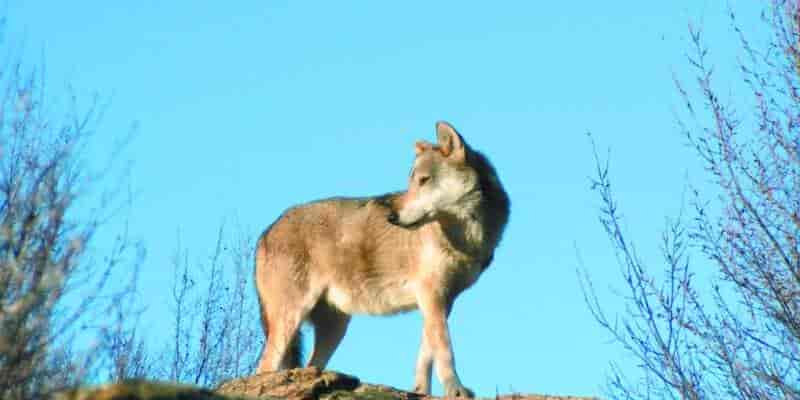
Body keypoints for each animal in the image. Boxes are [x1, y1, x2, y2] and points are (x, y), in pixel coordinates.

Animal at [254, 121, 510, 398]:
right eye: (410, 182)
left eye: (423, 180)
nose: (391, 217)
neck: (466, 237)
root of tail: (266, 232)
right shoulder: (431, 294)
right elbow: (444, 350)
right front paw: (456, 390)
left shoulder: (442, 300)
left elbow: (426, 354)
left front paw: (420, 390)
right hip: (290, 320)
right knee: (263, 368)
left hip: (335, 327)